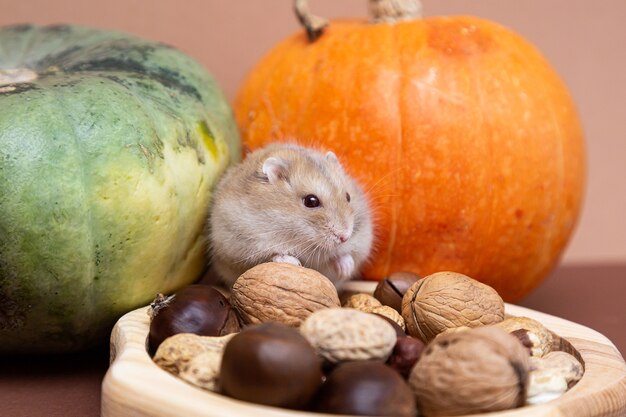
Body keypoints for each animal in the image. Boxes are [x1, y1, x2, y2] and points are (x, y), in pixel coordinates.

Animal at [207, 142, 372, 286]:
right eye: (311, 201)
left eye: (348, 197)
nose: (345, 237)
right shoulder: (240, 250)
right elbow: (271, 255)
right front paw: (294, 262)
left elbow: (343, 256)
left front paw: (346, 269)